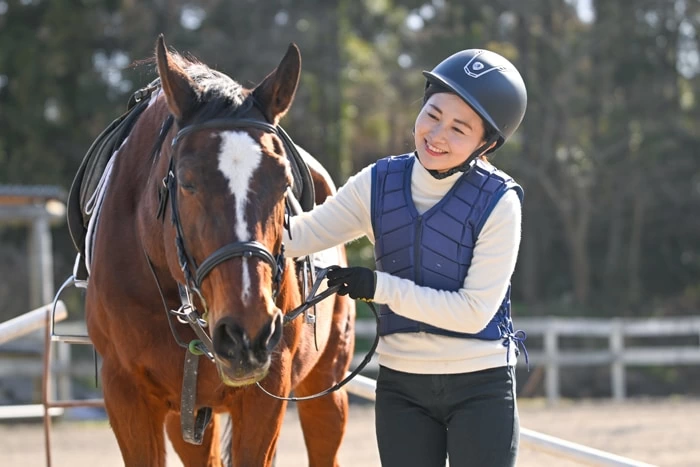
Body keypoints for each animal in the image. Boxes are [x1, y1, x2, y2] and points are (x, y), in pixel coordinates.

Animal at [83, 35, 356, 466]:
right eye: (187, 182)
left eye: (284, 183)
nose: (248, 332)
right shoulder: (126, 395)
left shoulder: (267, 393)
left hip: (326, 387)